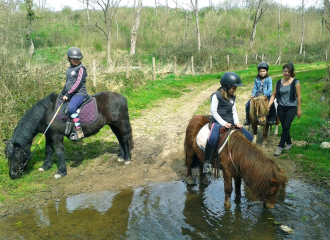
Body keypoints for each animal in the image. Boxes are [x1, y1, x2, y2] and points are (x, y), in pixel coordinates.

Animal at [2, 91, 134, 179]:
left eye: (19, 155)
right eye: (8, 156)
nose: (13, 175)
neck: (47, 113)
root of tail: (121, 97)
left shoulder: (57, 135)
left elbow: (59, 151)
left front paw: (61, 172)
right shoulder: (48, 135)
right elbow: (48, 149)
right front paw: (45, 166)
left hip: (120, 123)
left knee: (124, 138)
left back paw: (127, 159)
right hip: (113, 124)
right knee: (119, 138)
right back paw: (121, 156)